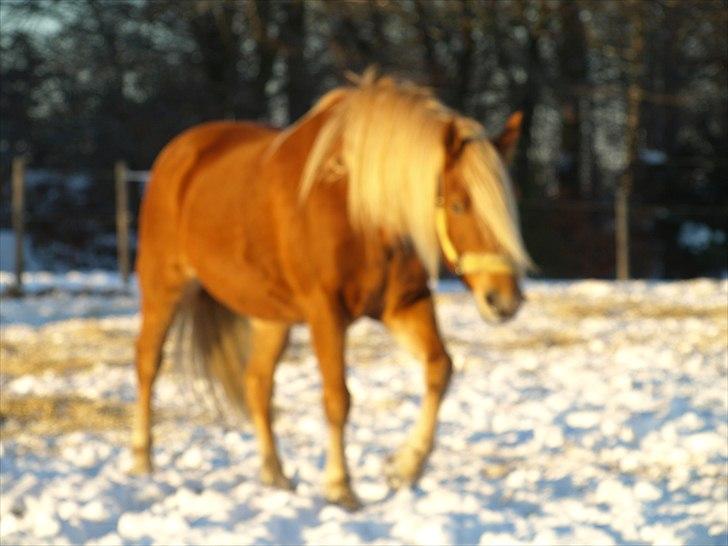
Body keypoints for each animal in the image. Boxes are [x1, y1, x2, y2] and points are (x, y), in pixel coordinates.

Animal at [132, 70, 528, 508]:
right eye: (459, 204)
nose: (503, 300)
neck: (359, 211)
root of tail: (178, 153)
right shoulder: (326, 312)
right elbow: (338, 398)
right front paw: (340, 486)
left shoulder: (405, 305)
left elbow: (439, 368)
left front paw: (404, 466)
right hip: (164, 287)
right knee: (148, 362)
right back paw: (142, 459)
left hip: (271, 316)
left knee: (257, 384)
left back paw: (275, 475)